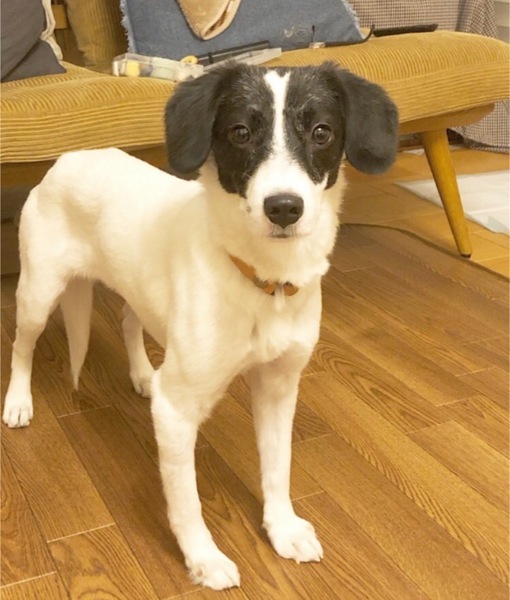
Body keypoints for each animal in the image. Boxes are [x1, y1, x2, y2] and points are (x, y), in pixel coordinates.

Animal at [3, 62, 398, 590]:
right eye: (240, 132)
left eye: (321, 132)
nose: (284, 207)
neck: (264, 282)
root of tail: (68, 157)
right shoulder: (177, 410)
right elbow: (186, 501)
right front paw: (203, 558)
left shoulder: (279, 386)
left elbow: (278, 468)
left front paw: (283, 528)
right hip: (38, 292)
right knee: (22, 346)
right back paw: (19, 402)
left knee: (129, 321)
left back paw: (142, 374)